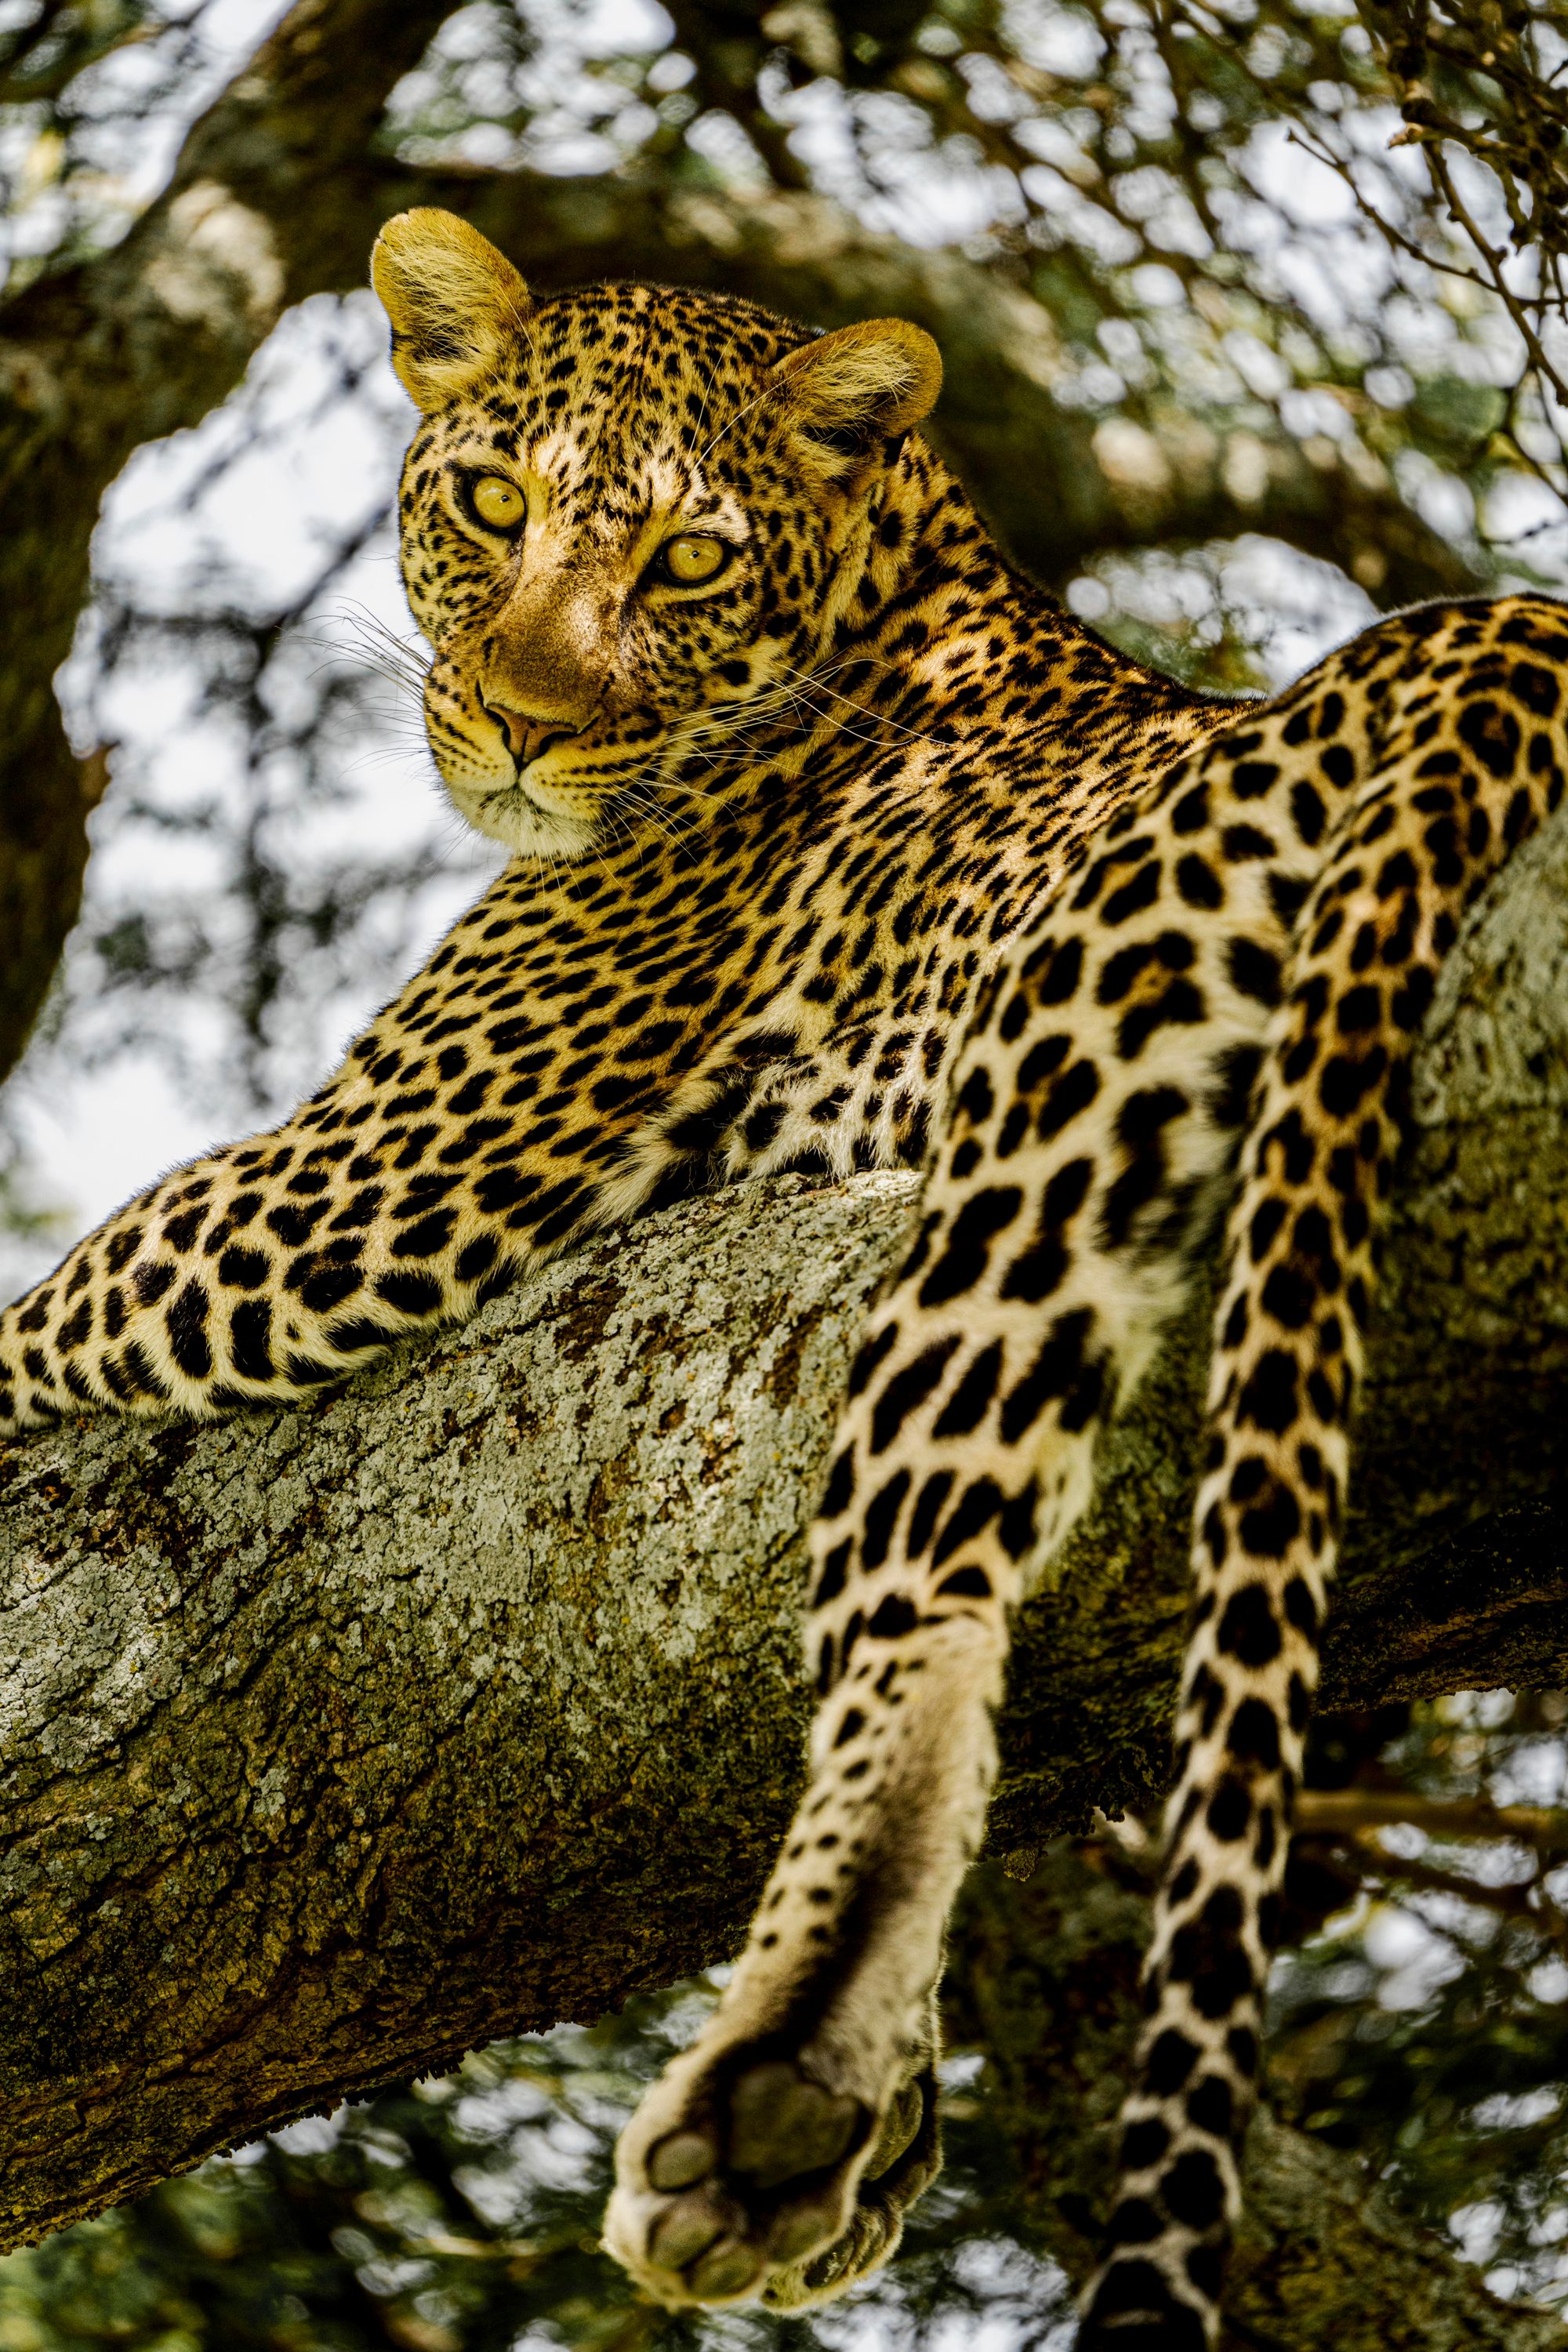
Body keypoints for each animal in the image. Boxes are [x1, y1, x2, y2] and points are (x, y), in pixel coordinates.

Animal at [2, 204, 1563, 2348]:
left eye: (683, 560)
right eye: (491, 502)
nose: (522, 723)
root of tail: (1498, 636)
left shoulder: (367, 1178)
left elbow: (50, 1298)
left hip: (1056, 1082)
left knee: (936, 1605)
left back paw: (786, 2078)